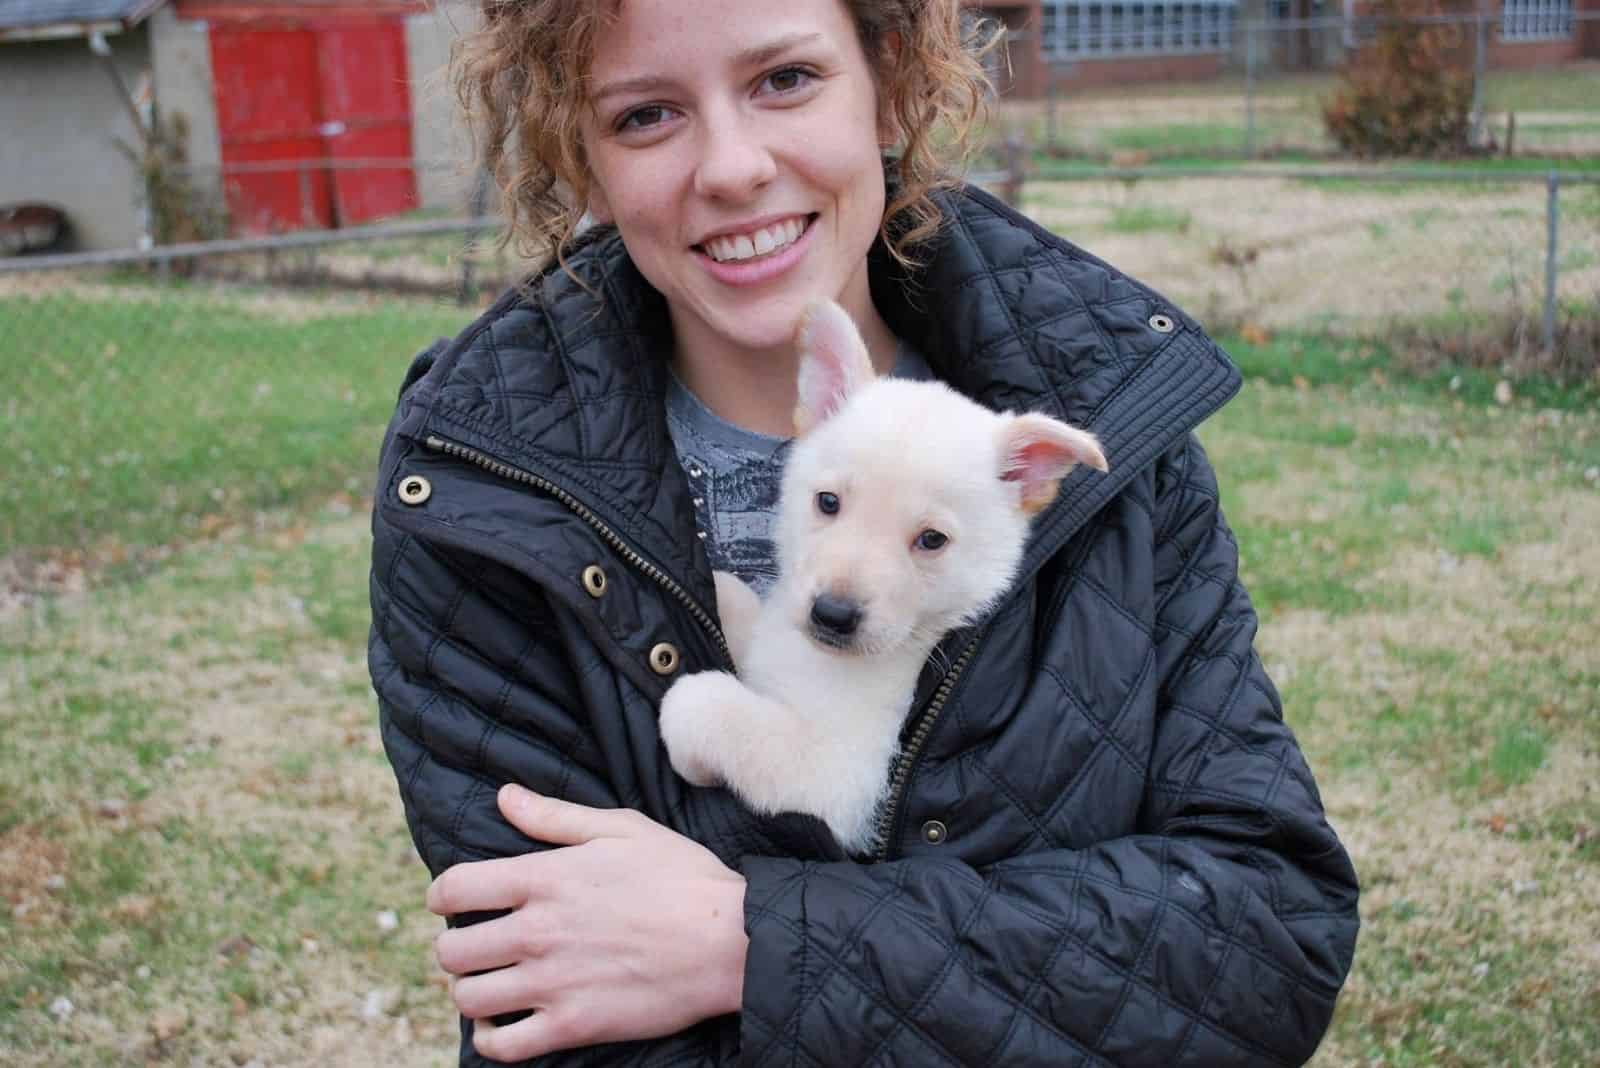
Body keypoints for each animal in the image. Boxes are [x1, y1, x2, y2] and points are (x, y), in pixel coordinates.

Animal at [656, 300, 1107, 850]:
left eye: (932, 540)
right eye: (828, 502)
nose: (832, 615)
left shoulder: (842, 780)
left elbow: (714, 711)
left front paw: (688, 728)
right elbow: (745, 608)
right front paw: (719, 587)